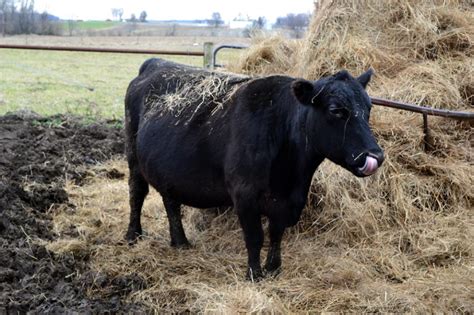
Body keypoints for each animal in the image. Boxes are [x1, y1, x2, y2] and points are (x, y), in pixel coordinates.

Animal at [124, 58, 384, 282]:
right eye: (335, 110)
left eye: (369, 108)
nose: (376, 155)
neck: (290, 175)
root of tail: (156, 62)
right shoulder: (244, 194)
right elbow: (255, 237)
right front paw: (254, 275)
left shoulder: (289, 200)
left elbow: (276, 234)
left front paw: (274, 268)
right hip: (133, 155)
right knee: (137, 194)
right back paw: (133, 236)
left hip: (168, 170)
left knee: (171, 202)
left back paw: (180, 242)